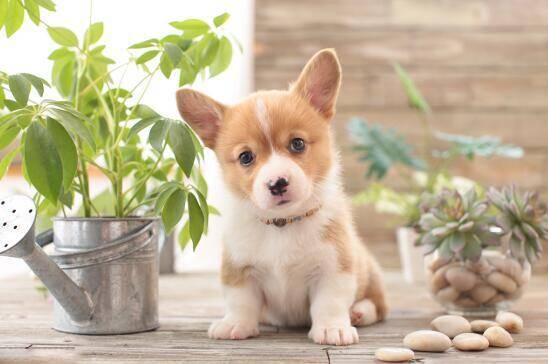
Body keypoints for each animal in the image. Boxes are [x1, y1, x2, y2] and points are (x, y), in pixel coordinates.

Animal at [178, 49, 388, 346]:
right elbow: (240, 302)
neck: (282, 223)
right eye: (246, 157)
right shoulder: (239, 269)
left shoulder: (334, 268)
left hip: (371, 273)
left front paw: (332, 329)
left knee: (379, 305)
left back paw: (359, 312)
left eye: (297, 143)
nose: (277, 183)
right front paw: (235, 324)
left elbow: (330, 302)